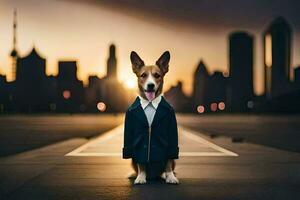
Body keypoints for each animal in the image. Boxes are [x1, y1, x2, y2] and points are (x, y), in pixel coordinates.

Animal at [122, 51, 179, 184]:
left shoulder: (171, 133)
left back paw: (165, 175)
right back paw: (136, 174)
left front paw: (170, 177)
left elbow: (168, 161)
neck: (150, 102)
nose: (151, 85)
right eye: (143, 75)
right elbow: (141, 162)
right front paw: (141, 177)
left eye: (157, 75)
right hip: (132, 159)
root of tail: (153, 175)